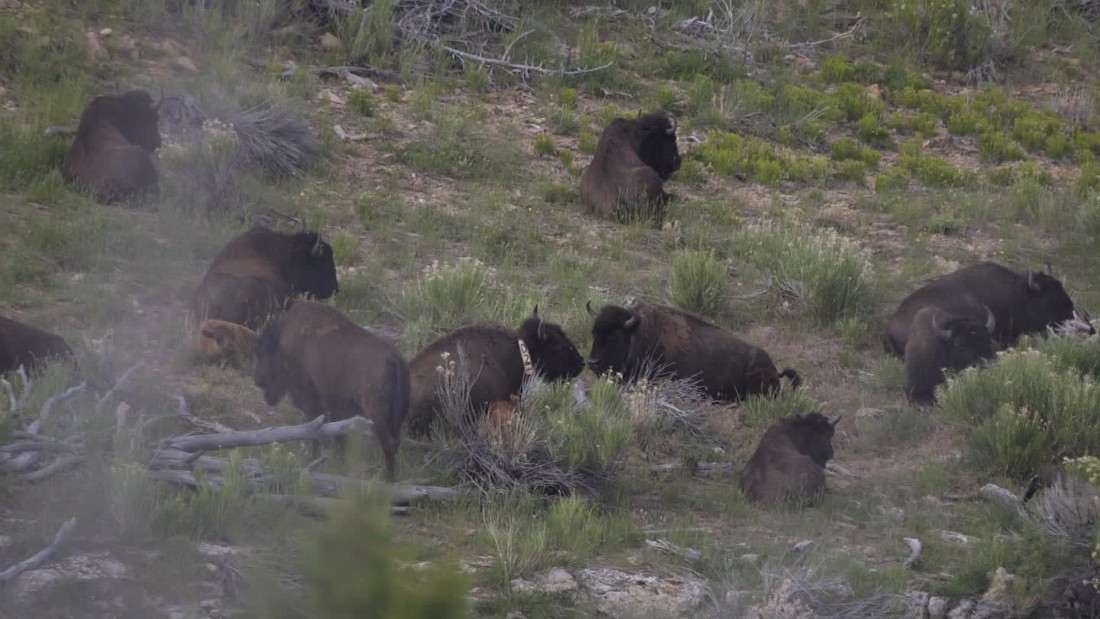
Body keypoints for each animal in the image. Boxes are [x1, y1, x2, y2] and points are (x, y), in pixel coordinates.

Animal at [251, 301, 409, 479]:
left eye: (263, 352)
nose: (258, 380)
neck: (285, 343)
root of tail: (393, 358)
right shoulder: (337, 406)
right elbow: (339, 433)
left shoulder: (311, 396)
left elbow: (315, 428)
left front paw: (313, 458)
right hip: (397, 415)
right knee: (395, 441)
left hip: (376, 413)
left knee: (388, 443)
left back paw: (387, 478)